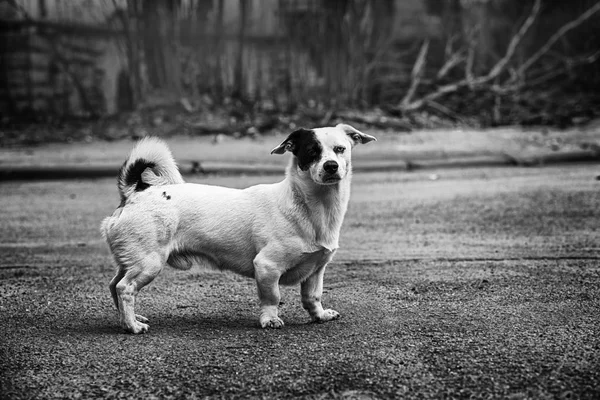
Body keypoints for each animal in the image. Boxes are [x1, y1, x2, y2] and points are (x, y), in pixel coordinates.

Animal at [101, 123, 378, 332]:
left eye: (340, 149)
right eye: (312, 151)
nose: (331, 166)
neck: (309, 205)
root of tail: (135, 192)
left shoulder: (316, 270)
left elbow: (312, 297)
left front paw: (319, 315)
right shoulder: (266, 267)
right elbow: (272, 297)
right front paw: (270, 319)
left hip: (132, 261)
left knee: (115, 285)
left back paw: (127, 320)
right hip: (149, 263)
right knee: (125, 289)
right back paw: (133, 326)